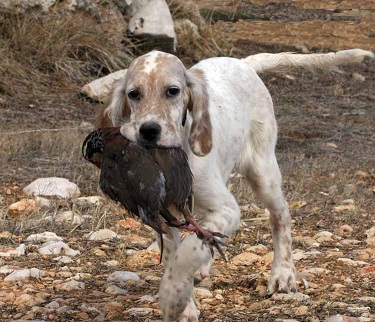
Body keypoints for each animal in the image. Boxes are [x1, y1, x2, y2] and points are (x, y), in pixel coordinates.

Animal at [96, 48, 374, 322]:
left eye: (172, 91)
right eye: (134, 94)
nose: (148, 131)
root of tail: (243, 63)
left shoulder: (227, 209)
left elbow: (187, 252)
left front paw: (172, 296)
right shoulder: (162, 217)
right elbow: (178, 255)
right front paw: (185, 305)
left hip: (263, 171)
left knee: (281, 215)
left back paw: (283, 274)